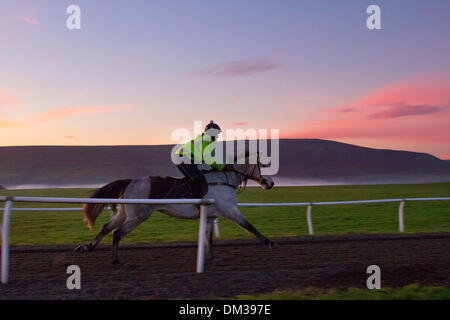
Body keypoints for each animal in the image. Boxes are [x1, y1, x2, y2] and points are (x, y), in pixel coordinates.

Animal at [75, 154, 276, 264]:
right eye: (264, 165)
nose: (271, 183)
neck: (224, 180)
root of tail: (130, 181)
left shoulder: (210, 216)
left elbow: (208, 238)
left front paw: (211, 258)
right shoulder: (230, 210)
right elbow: (250, 226)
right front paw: (270, 242)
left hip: (124, 214)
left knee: (106, 228)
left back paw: (87, 247)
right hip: (138, 216)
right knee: (117, 233)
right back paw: (115, 260)